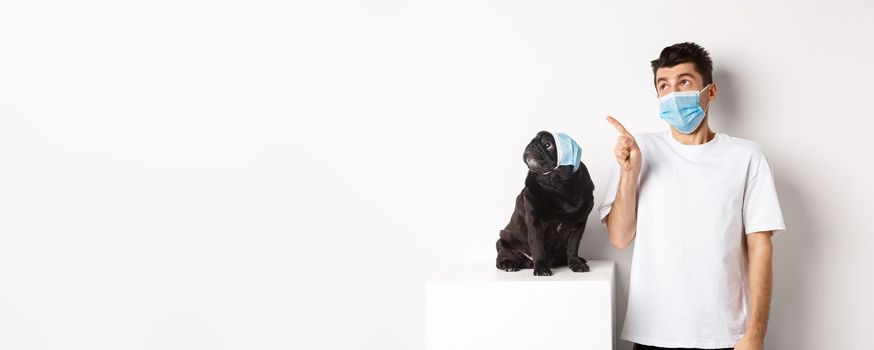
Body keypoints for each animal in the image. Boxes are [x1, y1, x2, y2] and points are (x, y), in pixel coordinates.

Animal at [494, 131, 596, 276]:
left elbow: (573, 247)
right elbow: (538, 247)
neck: (556, 185)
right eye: (531, 141)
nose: (532, 145)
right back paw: (509, 264)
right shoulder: (536, 224)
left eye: (548, 145)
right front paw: (541, 268)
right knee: (502, 256)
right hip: (502, 241)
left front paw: (575, 263)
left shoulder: (578, 226)